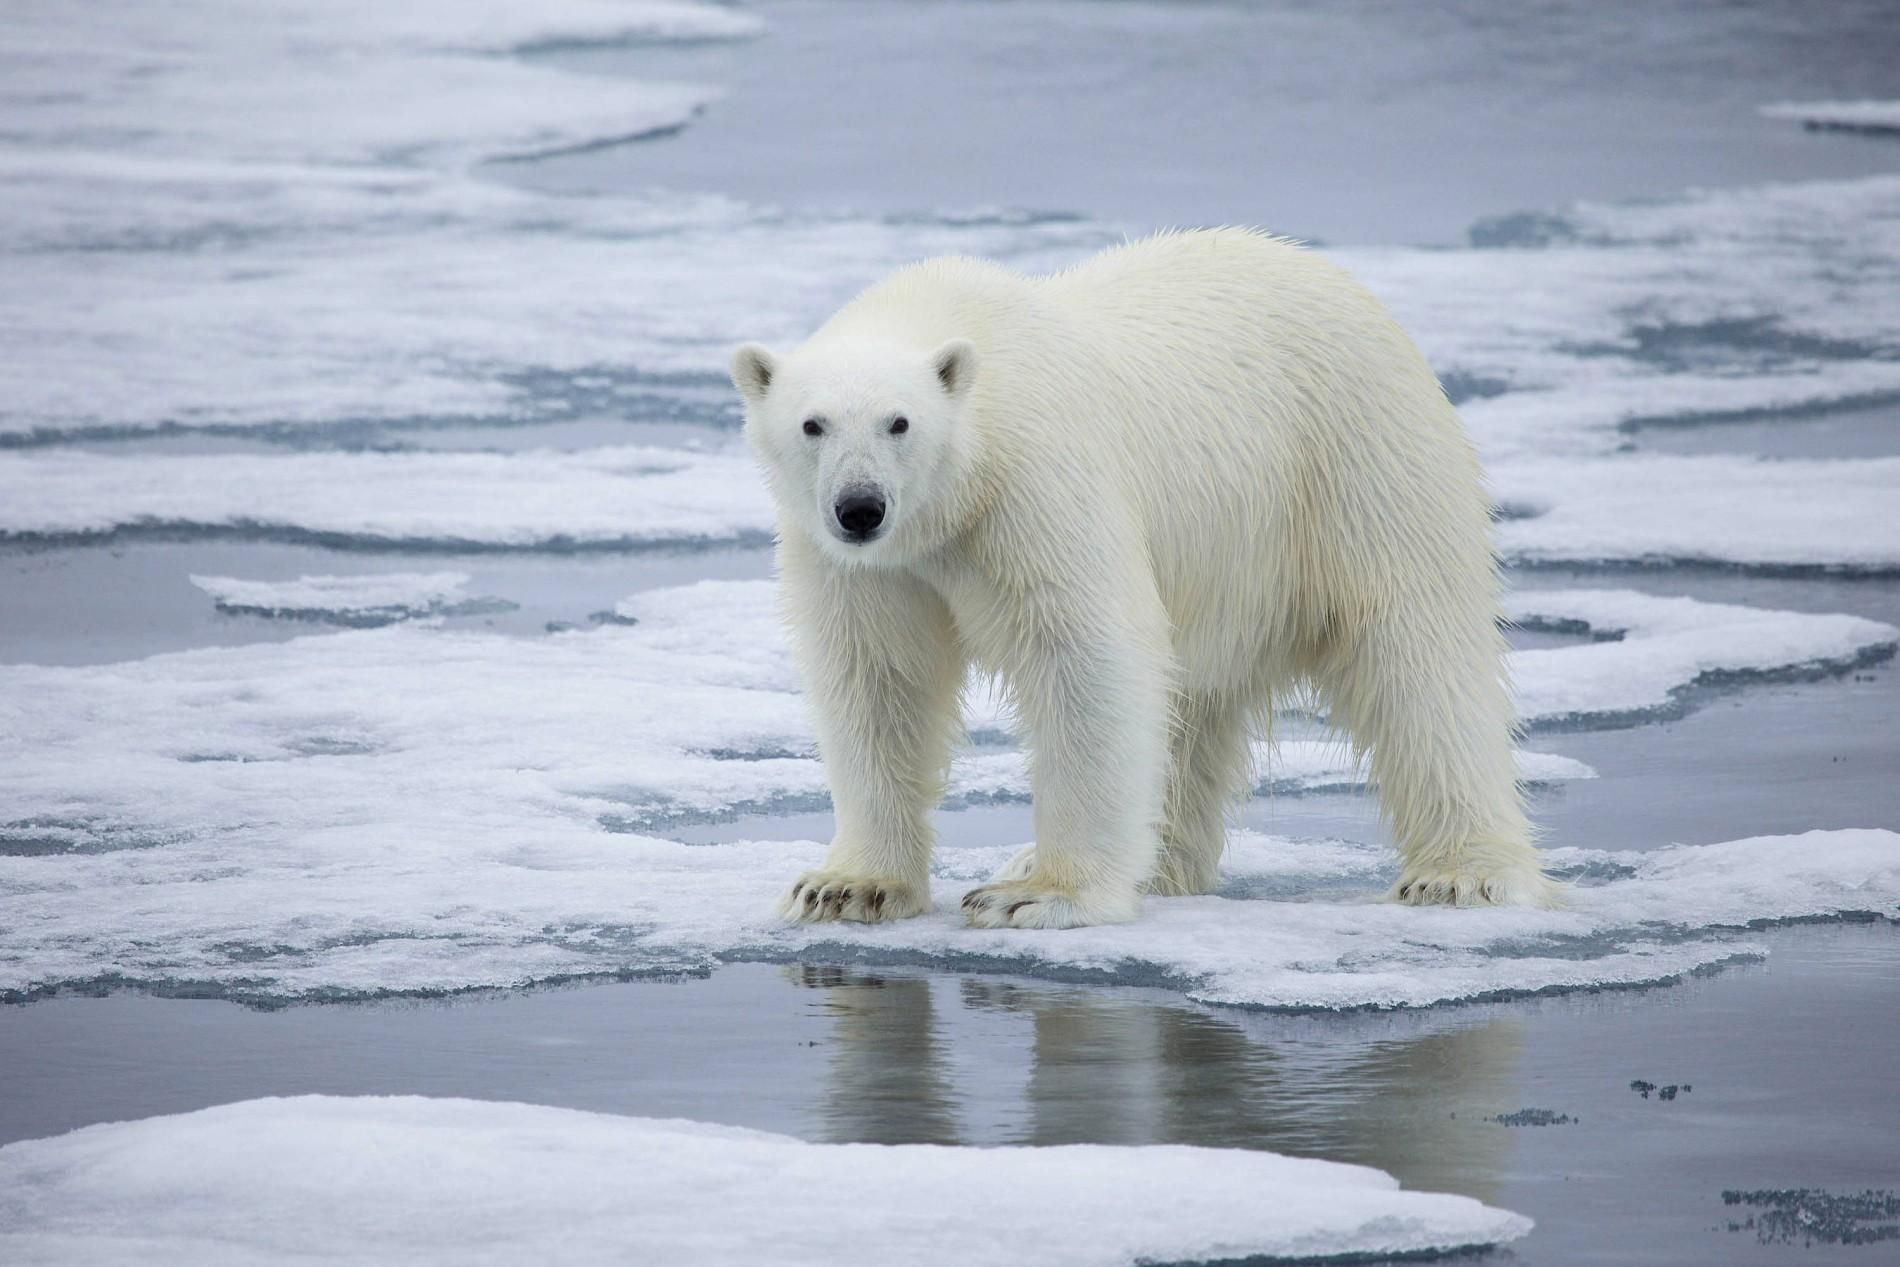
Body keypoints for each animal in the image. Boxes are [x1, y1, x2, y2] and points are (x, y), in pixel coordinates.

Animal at [729, 227, 1558, 926]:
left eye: (900, 422)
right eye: (812, 424)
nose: (860, 507)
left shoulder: (1037, 486)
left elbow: (1085, 658)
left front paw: (1038, 894)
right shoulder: (863, 565)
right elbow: (875, 677)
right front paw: (846, 885)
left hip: (1357, 468)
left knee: (1417, 657)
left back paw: (1461, 873)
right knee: (1191, 709)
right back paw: (1156, 863)